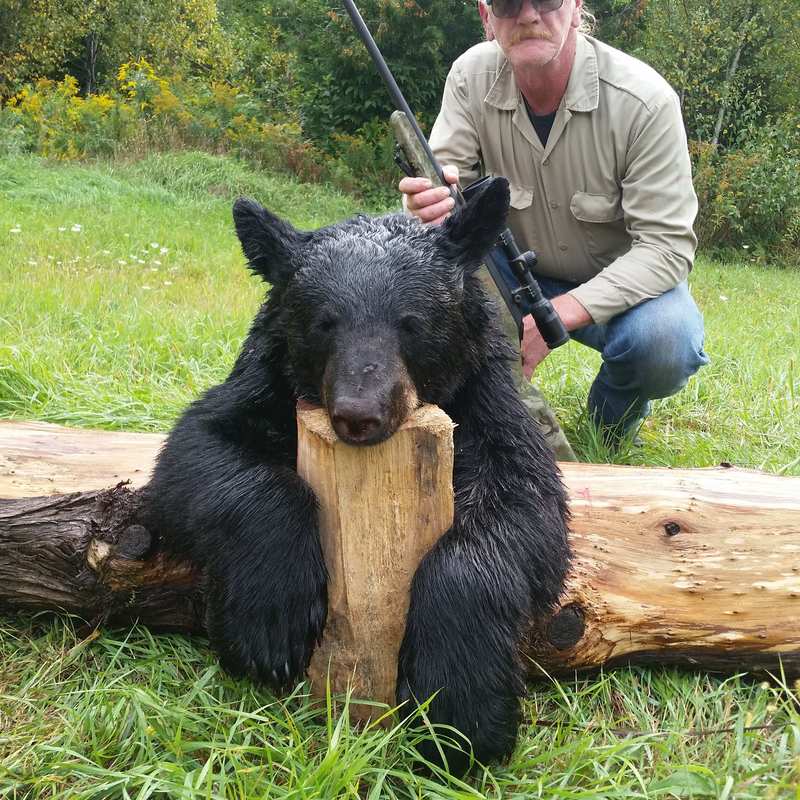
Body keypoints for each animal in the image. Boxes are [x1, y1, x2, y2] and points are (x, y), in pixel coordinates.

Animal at [141, 177, 570, 774]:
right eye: (324, 324)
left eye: (412, 324)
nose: (359, 413)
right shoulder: (261, 386)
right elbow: (195, 453)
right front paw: (269, 628)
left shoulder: (488, 405)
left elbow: (524, 507)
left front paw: (461, 715)